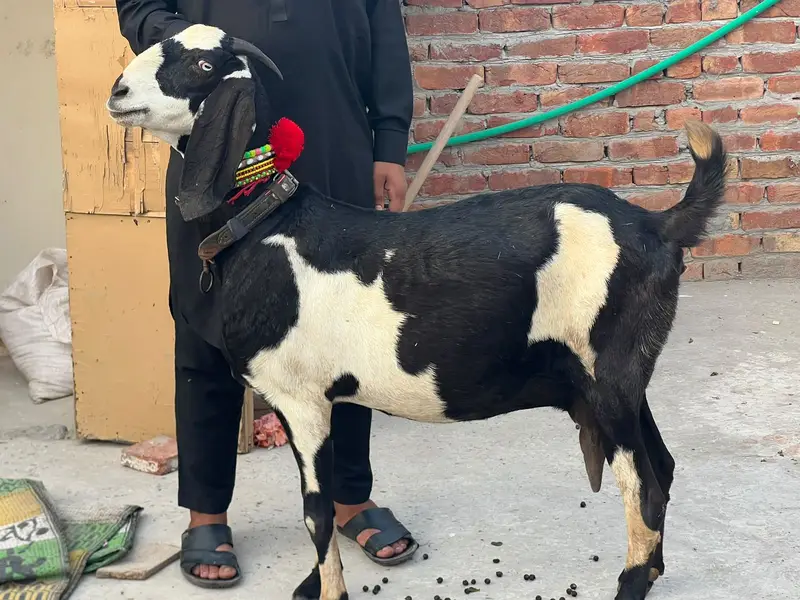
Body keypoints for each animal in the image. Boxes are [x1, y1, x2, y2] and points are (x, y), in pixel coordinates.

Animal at [106, 24, 726, 600]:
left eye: (202, 65)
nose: (117, 91)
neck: (267, 222)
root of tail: (657, 225)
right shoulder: (302, 402)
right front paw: (311, 584)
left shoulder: (303, 402)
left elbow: (316, 513)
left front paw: (328, 590)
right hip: (618, 379)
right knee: (663, 466)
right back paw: (651, 572)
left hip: (608, 375)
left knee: (644, 487)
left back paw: (630, 583)